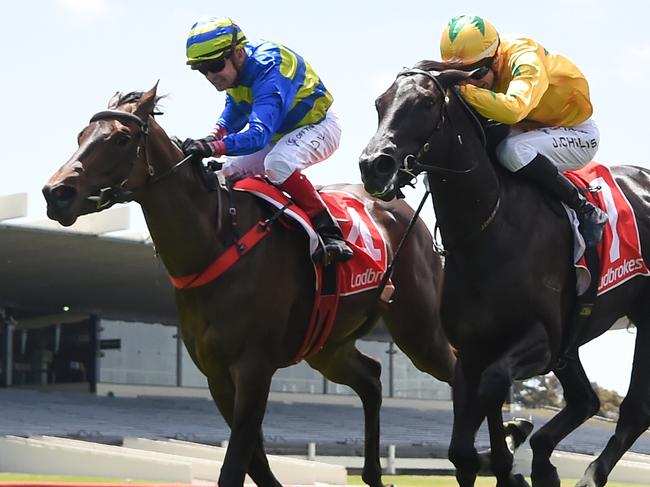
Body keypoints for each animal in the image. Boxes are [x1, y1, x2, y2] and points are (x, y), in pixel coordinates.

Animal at [41, 85, 456, 487]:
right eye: (81, 135)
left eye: (121, 139)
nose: (56, 193)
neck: (219, 240)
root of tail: (398, 205)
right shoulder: (216, 374)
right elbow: (254, 460)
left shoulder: (254, 367)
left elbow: (237, 461)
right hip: (328, 344)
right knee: (370, 378)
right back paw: (373, 474)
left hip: (418, 330)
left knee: (457, 369)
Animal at [356, 62, 648, 487]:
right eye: (380, 103)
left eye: (426, 102)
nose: (374, 166)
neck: (490, 228)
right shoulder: (472, 349)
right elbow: (462, 449)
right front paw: (507, 455)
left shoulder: (540, 343)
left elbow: (493, 387)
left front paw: (509, 451)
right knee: (585, 400)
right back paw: (542, 459)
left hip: (641, 316)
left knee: (634, 410)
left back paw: (589, 473)